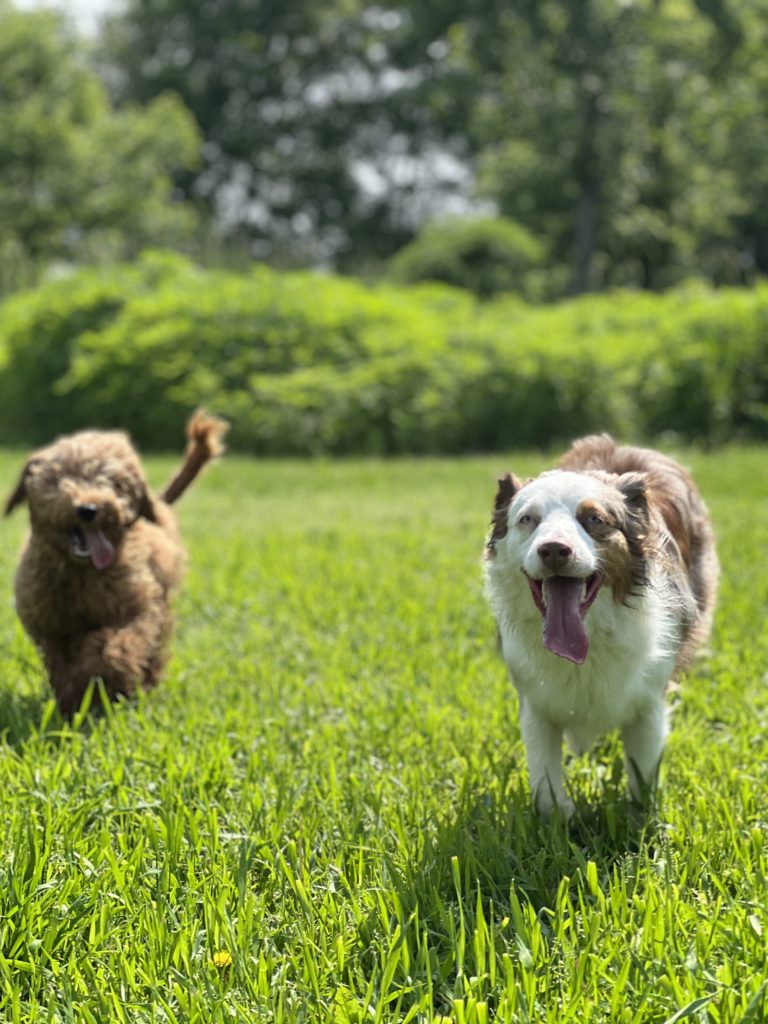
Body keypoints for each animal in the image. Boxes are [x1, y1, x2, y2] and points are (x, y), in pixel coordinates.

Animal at [4, 411, 227, 716]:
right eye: (61, 478)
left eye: (115, 485)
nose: (88, 509)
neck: (81, 572)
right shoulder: (51, 624)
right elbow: (62, 664)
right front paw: (73, 699)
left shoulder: (135, 609)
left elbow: (114, 648)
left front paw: (101, 685)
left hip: (162, 604)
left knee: (153, 649)